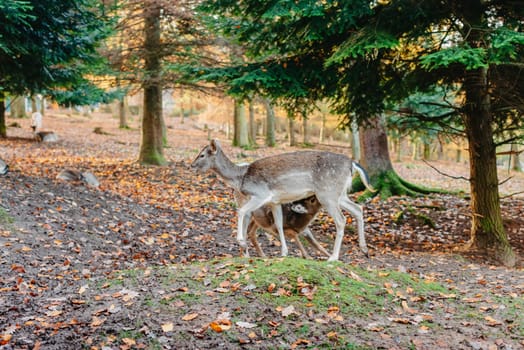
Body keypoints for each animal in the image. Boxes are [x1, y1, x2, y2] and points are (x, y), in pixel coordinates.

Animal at [191, 138, 372, 262]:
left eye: (202, 155)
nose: (191, 166)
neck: (241, 179)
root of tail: (352, 164)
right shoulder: (275, 202)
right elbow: (278, 224)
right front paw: (284, 252)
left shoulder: (261, 194)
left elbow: (241, 211)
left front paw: (241, 241)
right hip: (338, 194)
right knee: (358, 208)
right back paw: (364, 249)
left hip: (327, 194)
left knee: (341, 220)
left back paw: (333, 257)